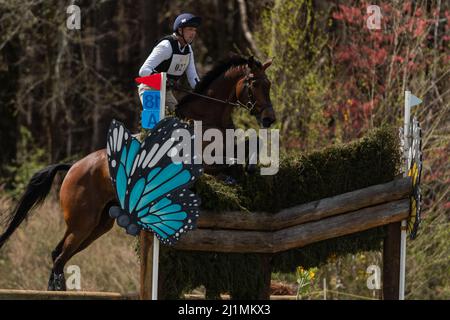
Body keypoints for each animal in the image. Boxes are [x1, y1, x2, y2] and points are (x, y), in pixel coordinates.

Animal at [0, 55, 274, 292]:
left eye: (269, 84)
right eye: (255, 83)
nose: (269, 119)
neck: (206, 120)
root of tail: (73, 167)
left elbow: (242, 156)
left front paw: (244, 172)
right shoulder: (201, 165)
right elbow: (227, 166)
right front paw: (231, 177)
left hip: (97, 225)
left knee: (58, 254)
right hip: (82, 221)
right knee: (59, 258)